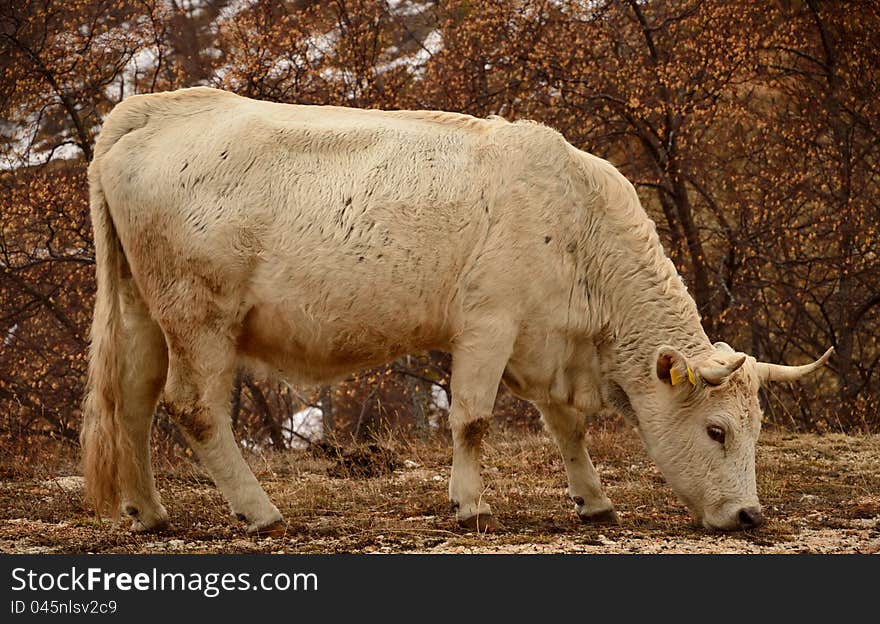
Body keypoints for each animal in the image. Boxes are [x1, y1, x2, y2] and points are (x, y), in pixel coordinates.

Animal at [79, 88, 828, 532]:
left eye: (756, 429)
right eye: (716, 431)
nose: (751, 515)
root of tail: (151, 109)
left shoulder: (542, 341)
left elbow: (566, 428)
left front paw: (593, 500)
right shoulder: (488, 325)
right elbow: (472, 420)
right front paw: (470, 505)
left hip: (144, 312)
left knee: (132, 403)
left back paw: (149, 513)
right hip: (199, 318)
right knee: (194, 409)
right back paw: (260, 512)